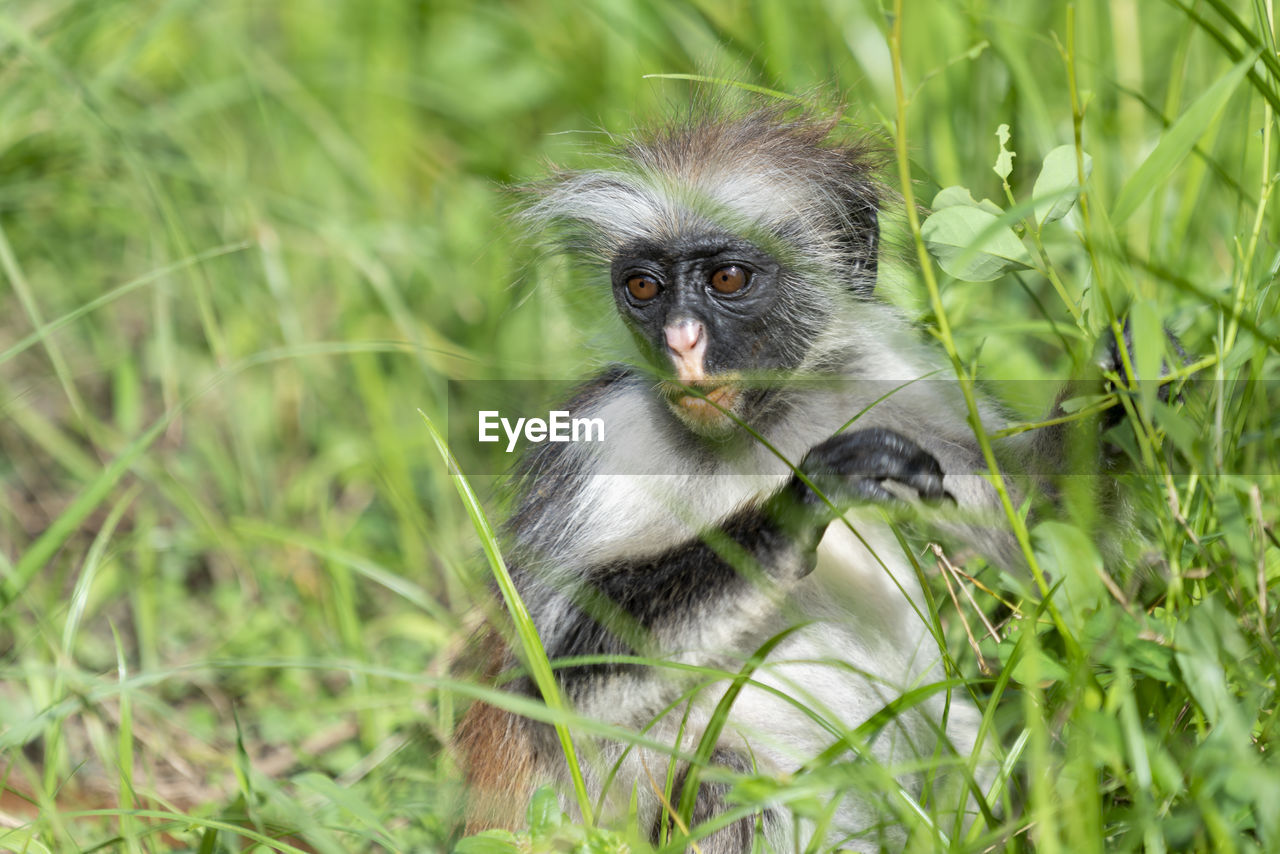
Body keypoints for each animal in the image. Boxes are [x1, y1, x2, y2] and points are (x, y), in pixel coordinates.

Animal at [453, 106, 1049, 854]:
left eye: (729, 279)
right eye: (644, 287)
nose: (681, 342)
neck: (756, 429)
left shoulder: (887, 375)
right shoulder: (602, 443)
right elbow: (553, 684)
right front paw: (798, 506)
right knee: (730, 780)